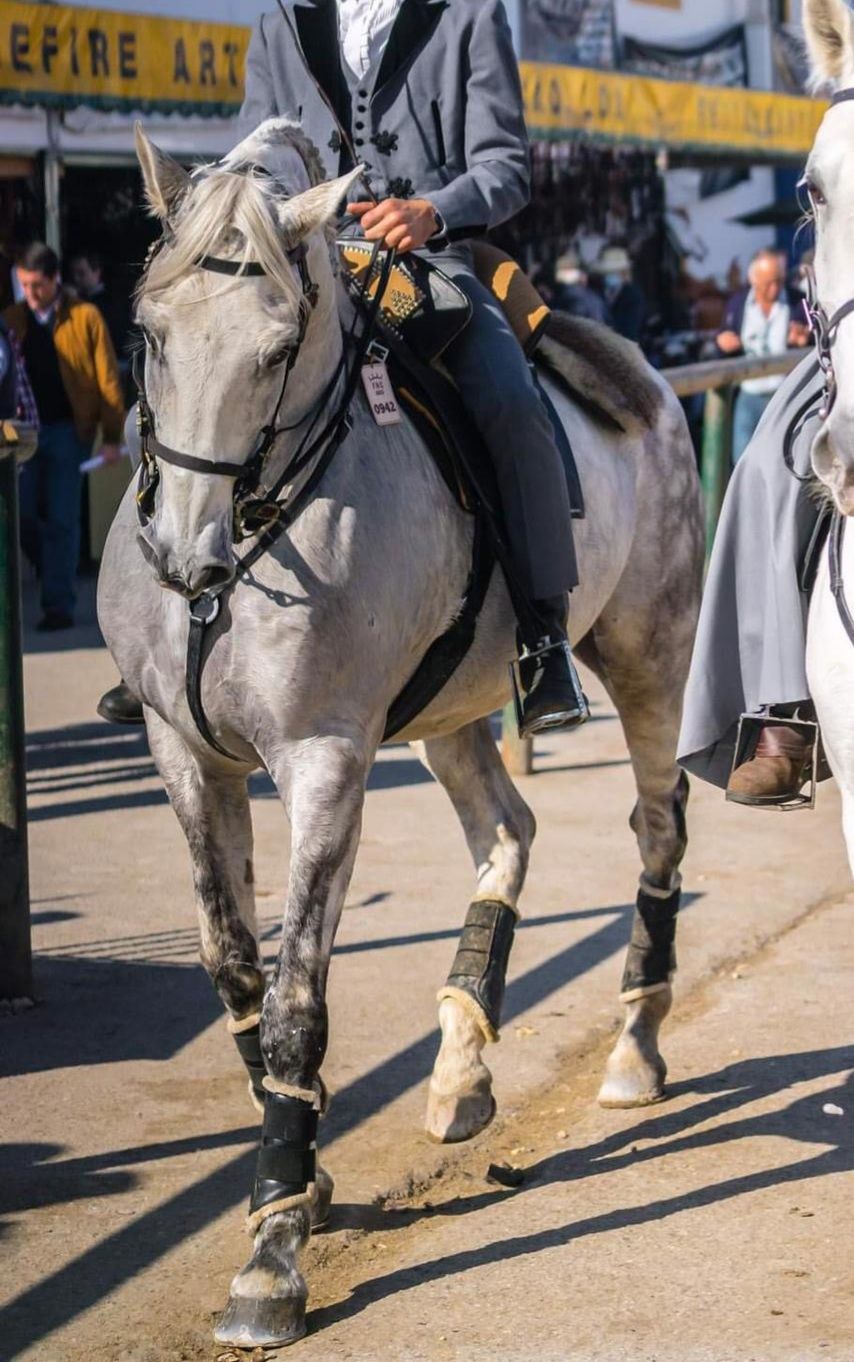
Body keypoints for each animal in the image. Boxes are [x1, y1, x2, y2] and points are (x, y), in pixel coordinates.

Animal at [96, 119, 702, 1351]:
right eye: (149, 335)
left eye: (279, 347)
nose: (185, 555)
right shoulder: (186, 760)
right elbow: (232, 967)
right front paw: (299, 1179)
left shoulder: (324, 762)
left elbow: (294, 1001)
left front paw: (273, 1251)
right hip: (451, 714)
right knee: (508, 831)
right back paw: (461, 1067)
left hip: (646, 656)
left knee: (655, 827)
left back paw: (633, 1041)